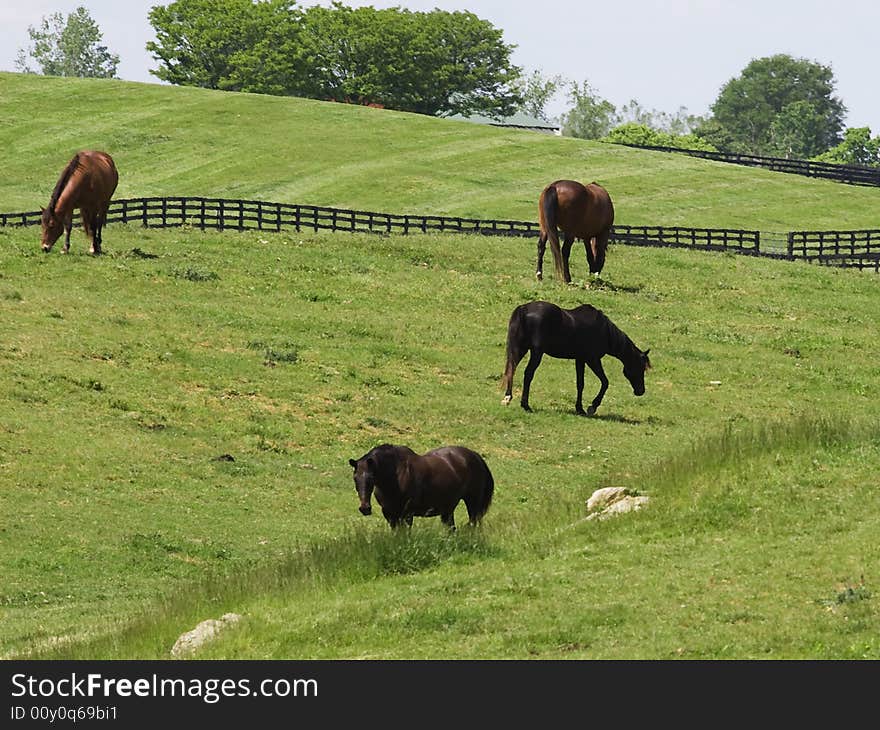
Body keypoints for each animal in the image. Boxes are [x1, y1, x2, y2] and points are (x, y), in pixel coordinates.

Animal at [346, 444, 496, 528]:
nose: (365, 508)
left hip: (473, 502)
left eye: (371, 478)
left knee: (473, 522)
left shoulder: (407, 514)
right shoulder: (390, 514)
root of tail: (475, 456)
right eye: (355, 478)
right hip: (447, 510)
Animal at [498, 300, 648, 416]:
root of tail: (523, 308)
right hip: (536, 353)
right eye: (640, 368)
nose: (641, 391)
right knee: (528, 374)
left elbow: (580, 384)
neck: (604, 330)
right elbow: (605, 382)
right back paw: (525, 405)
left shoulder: (580, 359)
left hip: (520, 349)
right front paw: (592, 407)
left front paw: (580, 409)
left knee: (511, 370)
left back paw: (507, 398)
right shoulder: (592, 359)